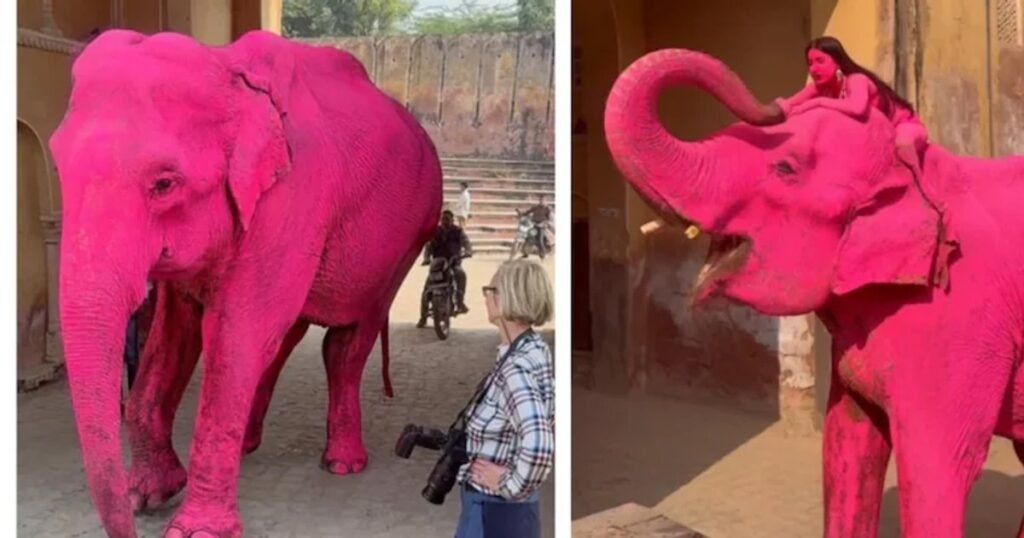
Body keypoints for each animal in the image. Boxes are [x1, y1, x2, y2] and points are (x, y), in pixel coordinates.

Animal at [49, 30, 442, 537]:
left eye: (164, 184)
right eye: (58, 169)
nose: (130, 520)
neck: (227, 67)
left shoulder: (292, 198)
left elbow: (237, 333)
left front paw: (194, 529)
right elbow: (176, 333)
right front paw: (147, 495)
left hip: (406, 243)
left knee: (347, 342)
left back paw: (342, 464)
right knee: (286, 338)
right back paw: (250, 446)